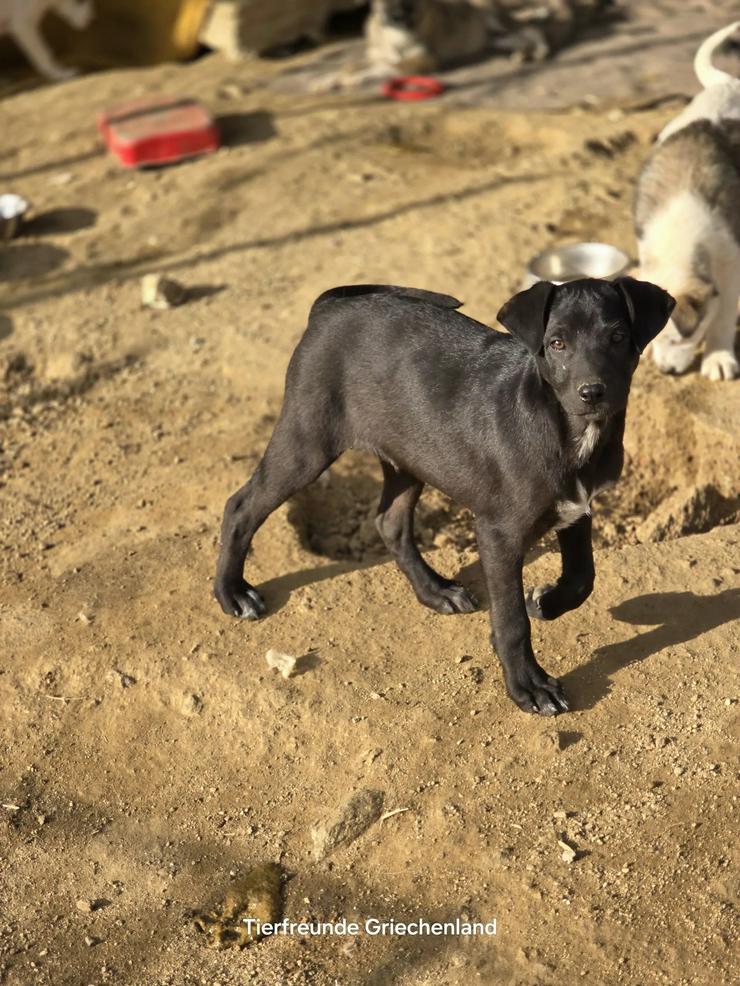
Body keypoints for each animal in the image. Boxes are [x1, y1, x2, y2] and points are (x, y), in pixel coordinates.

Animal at [212, 276, 672, 716]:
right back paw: (232, 593)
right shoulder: (499, 533)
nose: (592, 393)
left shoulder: (577, 509)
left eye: (617, 337)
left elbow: (582, 577)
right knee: (240, 505)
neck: (568, 430)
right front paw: (528, 685)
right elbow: (512, 621)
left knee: (390, 522)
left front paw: (548, 602)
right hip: (308, 440)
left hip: (409, 456)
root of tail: (329, 306)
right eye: (557, 343)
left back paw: (435, 591)